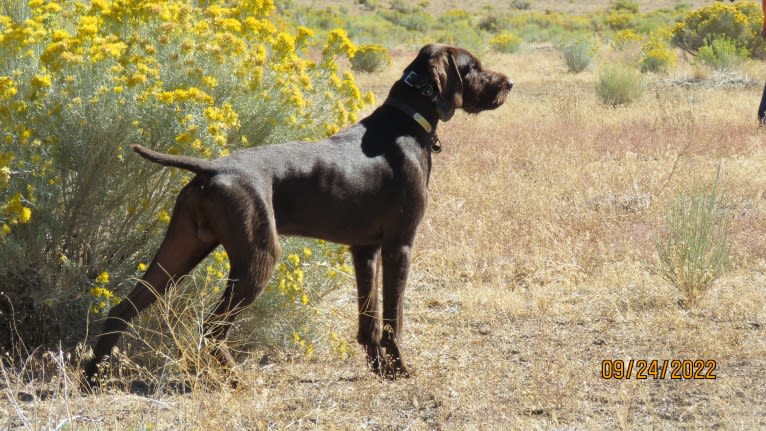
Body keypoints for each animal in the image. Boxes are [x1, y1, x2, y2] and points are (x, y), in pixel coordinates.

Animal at [84, 44, 512, 384]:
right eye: (472, 66)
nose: (508, 84)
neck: (407, 123)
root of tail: (211, 168)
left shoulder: (364, 249)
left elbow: (369, 322)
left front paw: (380, 371)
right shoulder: (399, 246)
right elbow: (394, 321)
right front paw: (401, 371)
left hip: (181, 249)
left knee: (122, 309)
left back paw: (93, 378)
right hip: (257, 258)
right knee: (211, 327)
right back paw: (236, 381)